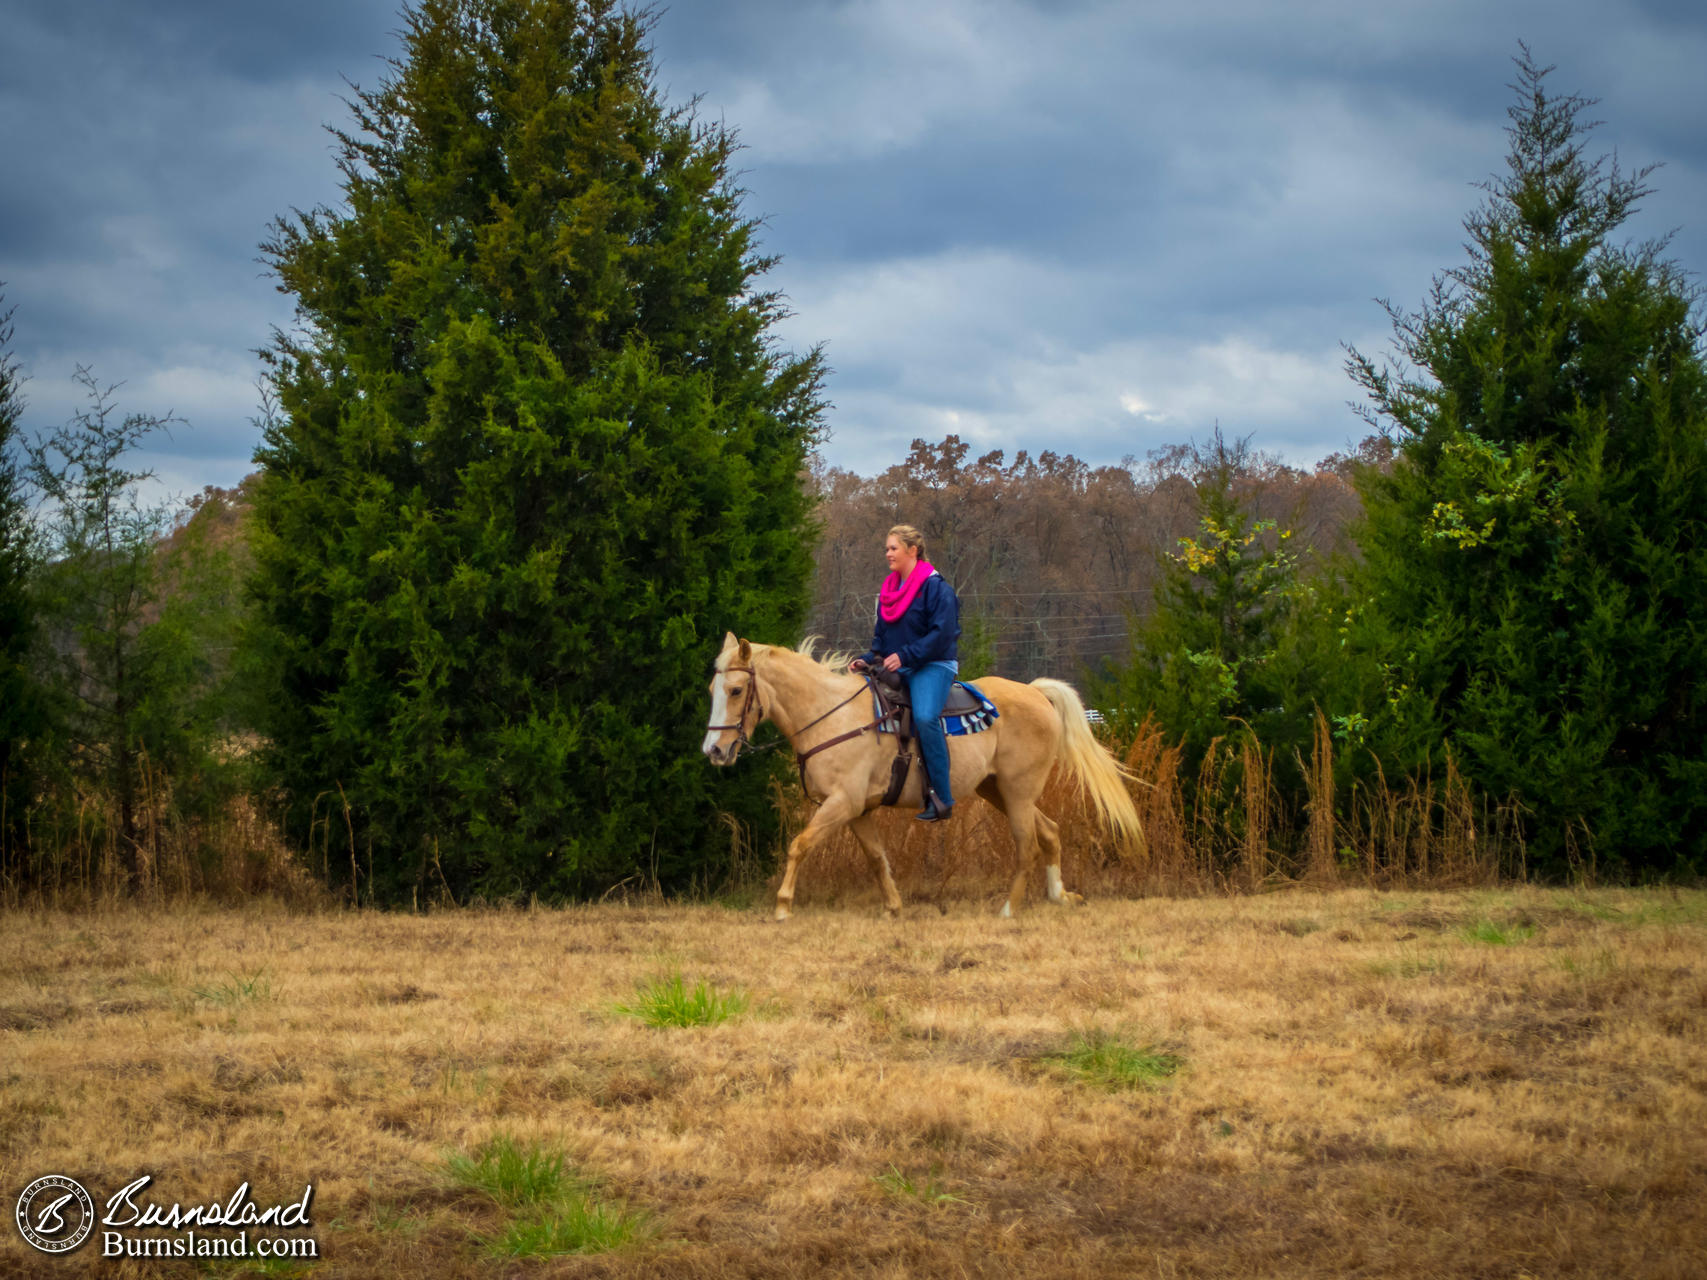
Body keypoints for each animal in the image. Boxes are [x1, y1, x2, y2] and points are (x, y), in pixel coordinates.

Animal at [699, 634, 1140, 921]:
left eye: (736, 690)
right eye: (712, 689)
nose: (714, 751)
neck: (831, 715)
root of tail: (1035, 693)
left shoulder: (841, 803)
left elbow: (799, 845)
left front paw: (782, 905)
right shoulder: (858, 811)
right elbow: (877, 858)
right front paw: (894, 907)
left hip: (1017, 792)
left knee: (1028, 844)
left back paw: (1008, 909)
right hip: (999, 789)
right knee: (1049, 831)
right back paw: (1058, 896)